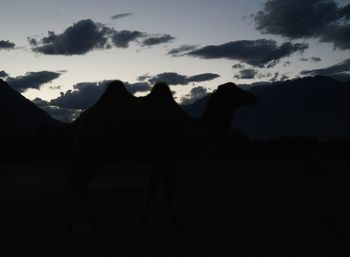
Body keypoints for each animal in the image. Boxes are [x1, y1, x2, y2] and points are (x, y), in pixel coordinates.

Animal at [63, 80, 258, 232]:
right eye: (234, 90)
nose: (252, 97)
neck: (188, 128)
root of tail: (78, 121)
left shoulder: (160, 159)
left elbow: (154, 189)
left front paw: (145, 221)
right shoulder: (169, 157)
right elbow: (167, 189)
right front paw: (175, 223)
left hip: (96, 157)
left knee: (81, 183)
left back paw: (94, 222)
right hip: (88, 153)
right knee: (72, 182)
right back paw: (70, 226)